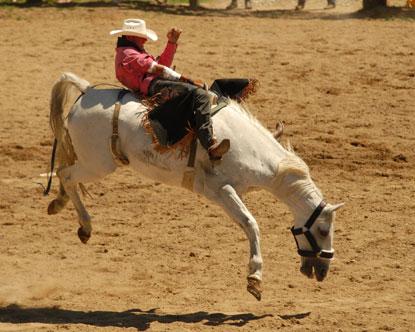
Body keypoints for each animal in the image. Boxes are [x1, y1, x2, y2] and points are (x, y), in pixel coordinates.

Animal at [46, 72, 344, 300]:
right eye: (323, 229)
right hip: (97, 164)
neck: (251, 150)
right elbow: (251, 224)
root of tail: (86, 90)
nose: (324, 270)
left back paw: (61, 205)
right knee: (65, 173)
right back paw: (83, 224)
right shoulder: (220, 190)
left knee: (65, 173)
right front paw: (255, 278)